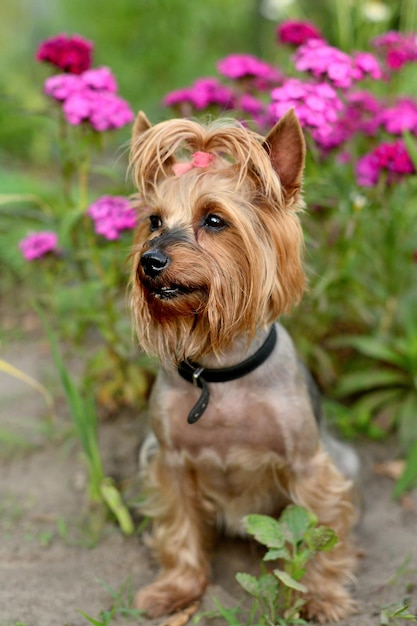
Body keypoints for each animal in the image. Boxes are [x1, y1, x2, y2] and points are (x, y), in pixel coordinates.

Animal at [129, 108, 358, 620]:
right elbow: (179, 528)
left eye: (214, 220)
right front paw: (176, 589)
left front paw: (318, 595)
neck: (219, 370)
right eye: (154, 221)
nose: (150, 261)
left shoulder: (307, 465)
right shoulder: (169, 461)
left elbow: (316, 530)